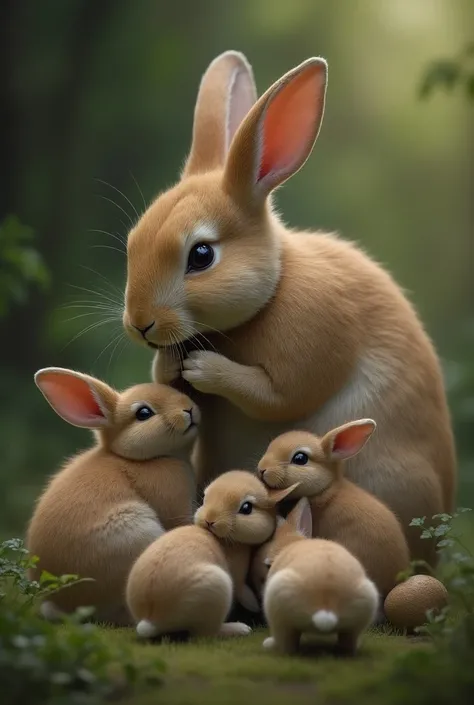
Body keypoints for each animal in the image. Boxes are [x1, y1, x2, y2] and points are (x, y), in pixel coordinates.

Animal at [27, 366, 198, 624]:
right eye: (144, 413)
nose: (188, 408)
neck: (137, 459)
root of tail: (63, 604)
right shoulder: (173, 502)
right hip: (135, 535)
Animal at [122, 49, 456, 564]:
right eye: (132, 242)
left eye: (201, 255)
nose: (139, 324)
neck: (274, 288)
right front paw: (170, 364)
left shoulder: (310, 346)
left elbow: (274, 396)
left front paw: (203, 367)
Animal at [124, 470, 294, 640]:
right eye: (205, 497)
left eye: (246, 508)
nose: (210, 520)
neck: (224, 540)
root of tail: (151, 618)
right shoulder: (237, 576)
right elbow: (242, 590)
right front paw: (254, 606)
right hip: (215, 589)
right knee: (205, 634)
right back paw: (239, 629)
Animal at [260, 496, 378, 656]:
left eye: (268, 565)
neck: (290, 543)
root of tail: (326, 606)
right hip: (364, 604)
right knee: (349, 642)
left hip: (277, 608)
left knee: (286, 642)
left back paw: (270, 644)